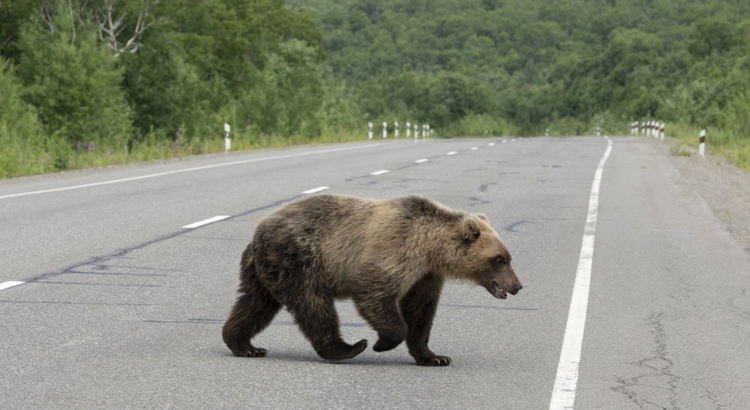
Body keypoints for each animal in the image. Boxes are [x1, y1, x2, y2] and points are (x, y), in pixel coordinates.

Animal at [222, 194, 522, 366]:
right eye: (499, 259)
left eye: (508, 257)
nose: (517, 286)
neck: (430, 248)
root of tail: (258, 229)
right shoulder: (396, 249)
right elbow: (374, 290)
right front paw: (382, 342)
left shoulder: (425, 275)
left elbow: (421, 312)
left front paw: (435, 356)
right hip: (299, 258)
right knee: (313, 303)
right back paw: (348, 348)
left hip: (265, 269)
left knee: (255, 303)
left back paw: (244, 344)